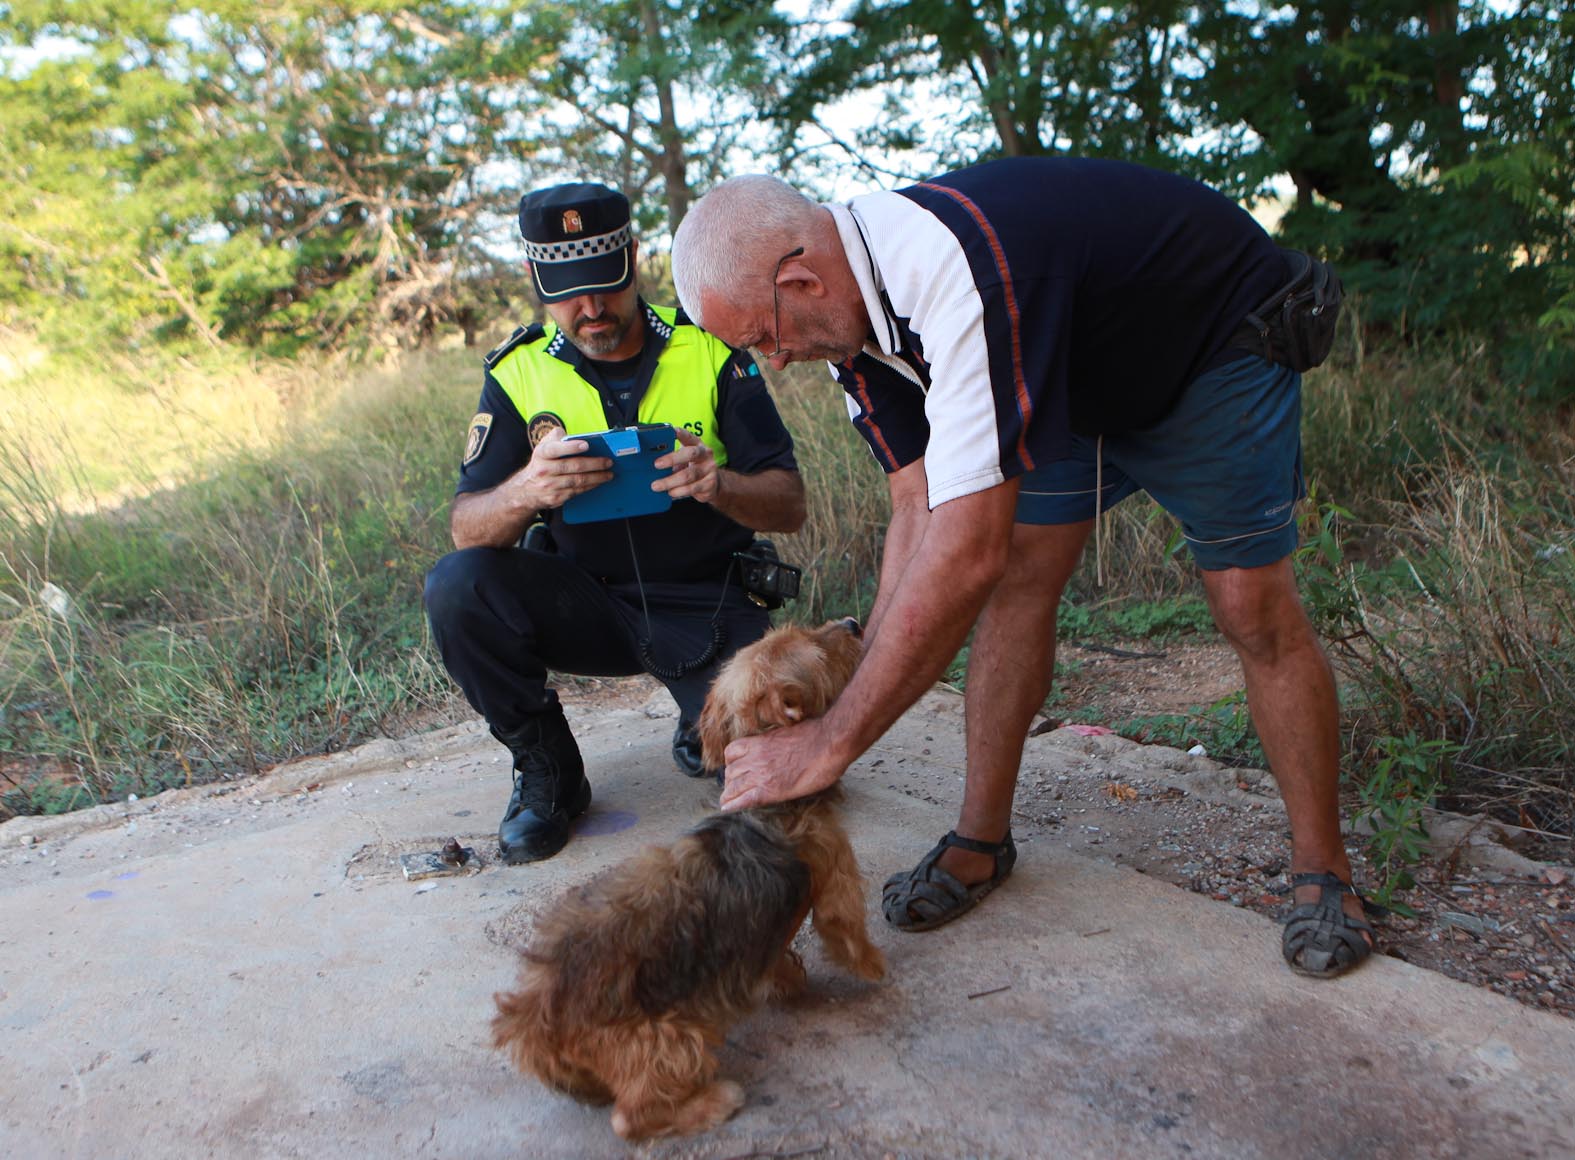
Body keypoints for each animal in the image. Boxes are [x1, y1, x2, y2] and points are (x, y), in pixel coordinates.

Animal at [491, 620, 888, 1133]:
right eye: (816, 647)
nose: (853, 625)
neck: (770, 807)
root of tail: (533, 1017)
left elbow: (773, 960)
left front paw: (787, 980)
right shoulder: (836, 873)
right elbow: (848, 930)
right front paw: (875, 968)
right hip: (669, 1039)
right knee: (632, 1116)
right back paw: (712, 1102)